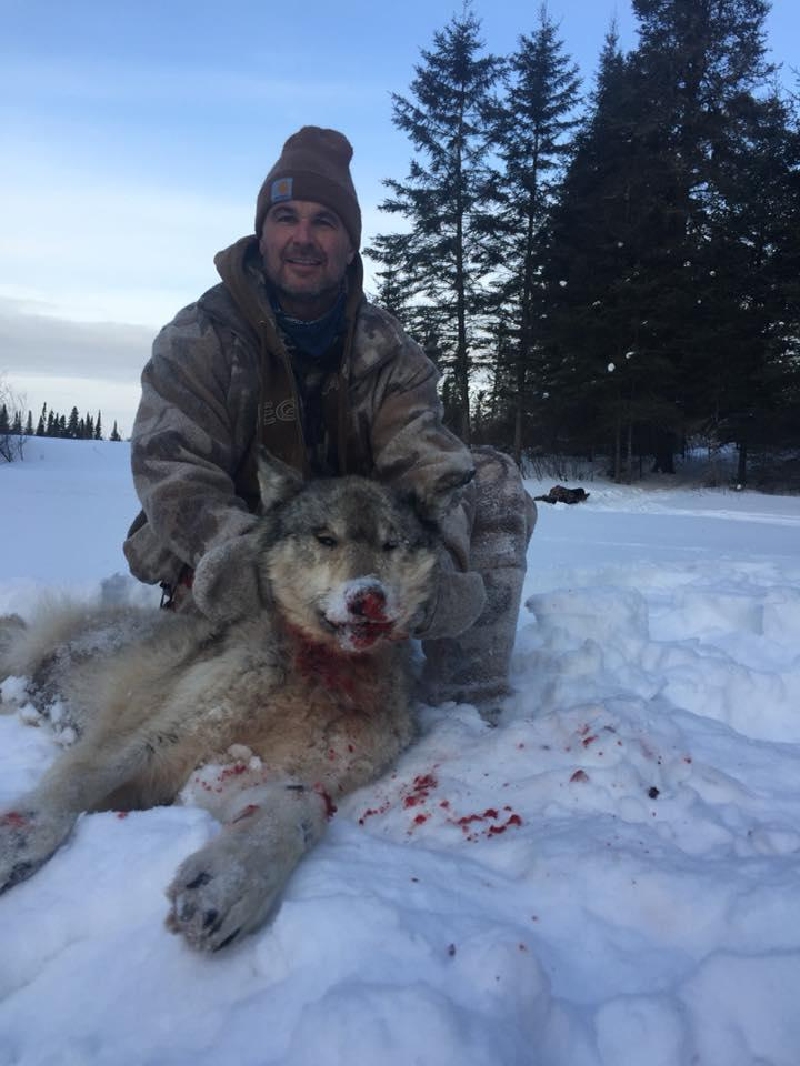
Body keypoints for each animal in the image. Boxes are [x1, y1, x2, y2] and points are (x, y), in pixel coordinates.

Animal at [0, 453, 440, 951]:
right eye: (326, 538)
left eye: (391, 544)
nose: (369, 597)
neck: (321, 673)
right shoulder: (152, 737)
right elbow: (71, 785)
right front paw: (17, 841)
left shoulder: (293, 778)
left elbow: (297, 809)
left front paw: (229, 881)